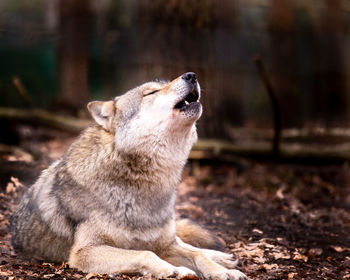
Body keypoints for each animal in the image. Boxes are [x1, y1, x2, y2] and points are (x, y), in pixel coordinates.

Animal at [10, 72, 246, 280]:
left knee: (189, 244)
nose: (191, 75)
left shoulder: (165, 245)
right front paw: (174, 270)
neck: (145, 186)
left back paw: (225, 259)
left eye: (164, 84)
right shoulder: (84, 252)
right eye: (151, 92)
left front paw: (222, 272)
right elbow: (145, 253)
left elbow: (197, 255)